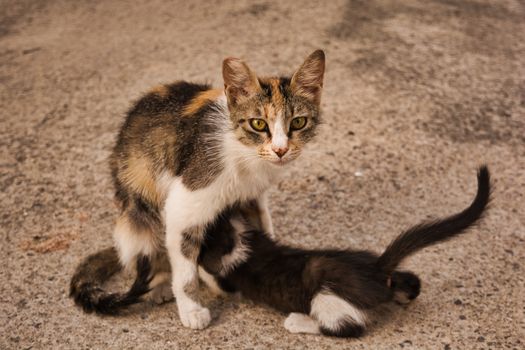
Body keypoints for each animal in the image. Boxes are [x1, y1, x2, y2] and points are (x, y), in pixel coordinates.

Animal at [69, 50, 324, 328]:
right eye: (258, 124)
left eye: (298, 122)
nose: (280, 150)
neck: (244, 153)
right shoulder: (184, 203)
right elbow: (185, 268)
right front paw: (191, 310)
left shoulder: (253, 196)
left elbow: (263, 224)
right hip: (139, 205)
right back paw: (160, 284)